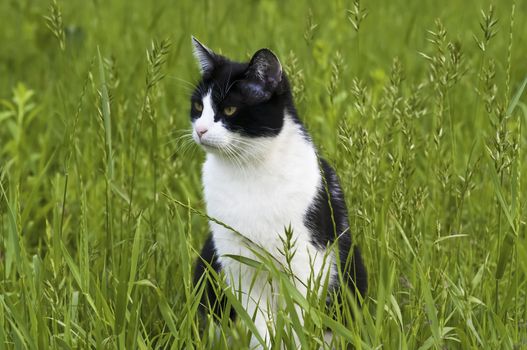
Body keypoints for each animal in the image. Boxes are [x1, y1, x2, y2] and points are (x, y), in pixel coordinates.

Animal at [192, 36, 370, 348]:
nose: (200, 130)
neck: (247, 170)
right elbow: (258, 326)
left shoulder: (305, 263)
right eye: (197, 107)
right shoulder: (238, 264)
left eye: (229, 110)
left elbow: (300, 322)